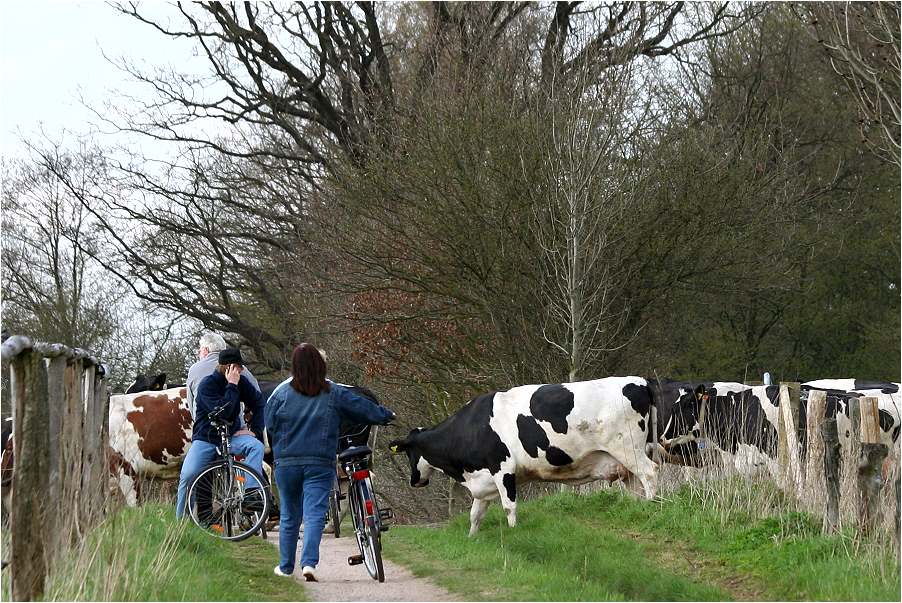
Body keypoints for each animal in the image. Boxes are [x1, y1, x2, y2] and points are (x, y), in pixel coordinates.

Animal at [386, 378, 656, 536]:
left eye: (409, 453)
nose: (414, 480)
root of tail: (640, 381)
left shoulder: (503, 467)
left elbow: (509, 507)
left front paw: (513, 534)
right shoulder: (482, 482)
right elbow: (475, 515)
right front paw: (472, 540)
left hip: (628, 447)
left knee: (650, 473)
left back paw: (654, 507)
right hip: (623, 462)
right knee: (636, 486)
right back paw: (640, 509)